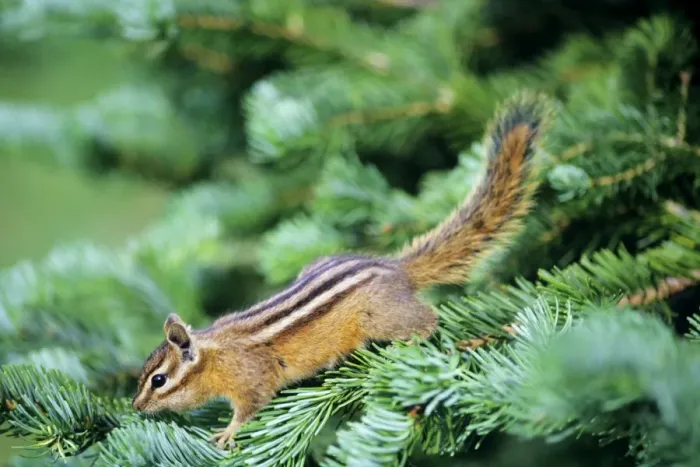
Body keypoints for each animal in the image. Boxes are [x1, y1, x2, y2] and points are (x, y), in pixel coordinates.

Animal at [131, 92, 551, 450]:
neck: (214, 354)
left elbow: (251, 404)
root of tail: (394, 268)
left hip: (380, 317)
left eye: (158, 380)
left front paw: (228, 431)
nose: (135, 406)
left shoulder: (252, 374)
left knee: (428, 320)